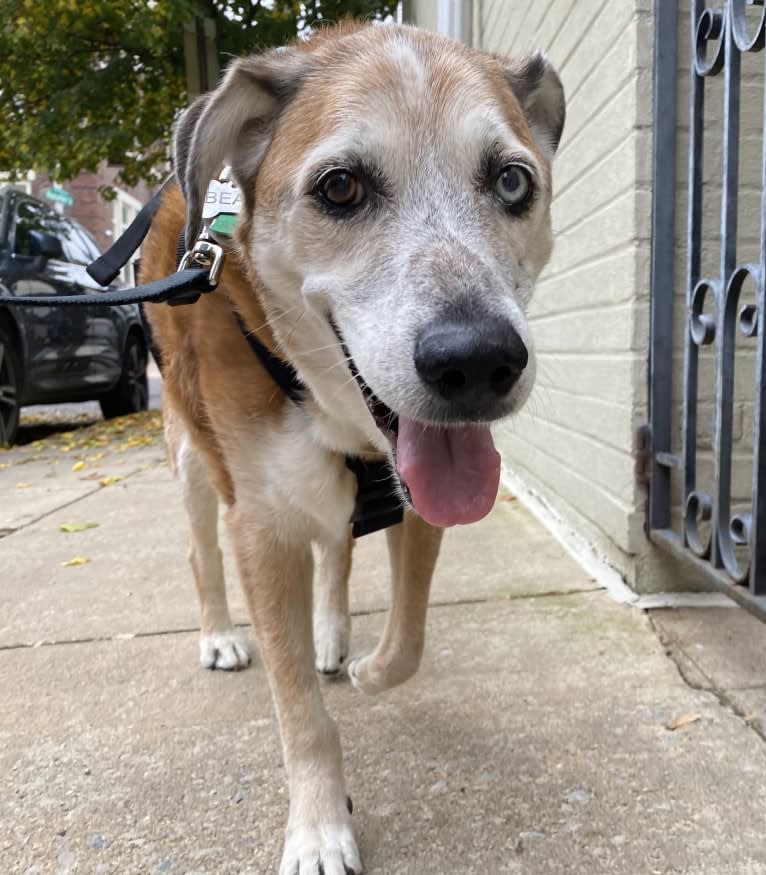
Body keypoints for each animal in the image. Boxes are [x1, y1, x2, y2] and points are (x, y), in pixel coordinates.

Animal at [142, 20, 564, 875]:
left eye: (512, 182)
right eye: (340, 189)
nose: (478, 363)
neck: (331, 409)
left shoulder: (419, 503)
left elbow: (408, 639)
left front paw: (368, 669)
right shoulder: (261, 527)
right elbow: (299, 710)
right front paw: (316, 829)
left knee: (337, 551)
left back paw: (335, 638)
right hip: (193, 461)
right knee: (202, 550)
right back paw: (219, 637)